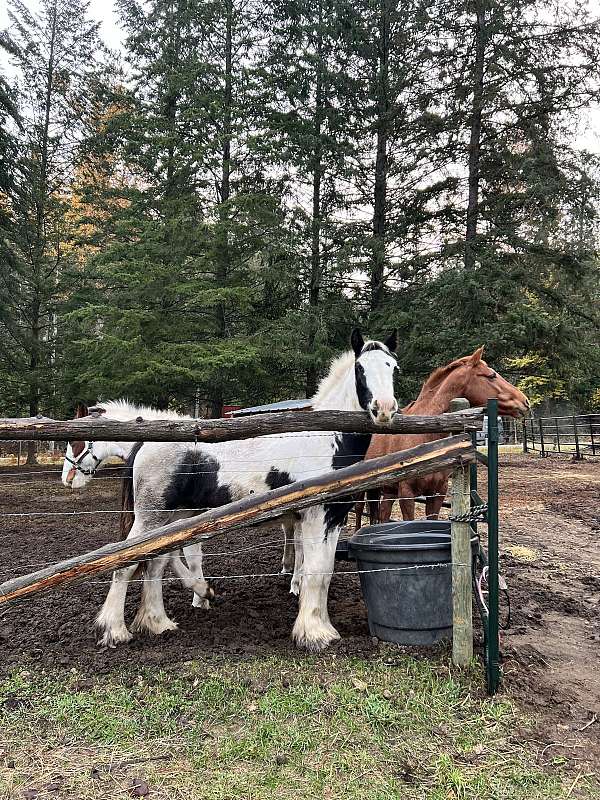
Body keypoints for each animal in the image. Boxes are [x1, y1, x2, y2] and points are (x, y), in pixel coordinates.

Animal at [95, 328, 398, 652]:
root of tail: (145, 443)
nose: (384, 409)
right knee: (126, 565)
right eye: (360, 369)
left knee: (155, 565)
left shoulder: (334, 518)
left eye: (393, 367)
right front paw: (313, 634)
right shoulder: (316, 516)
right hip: (151, 518)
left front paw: (322, 628)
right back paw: (115, 630)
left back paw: (158, 623)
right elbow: (315, 572)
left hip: (171, 520)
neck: (327, 440)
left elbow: (324, 572)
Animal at [354, 348, 528, 524]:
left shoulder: (437, 493)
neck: (425, 437)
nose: (525, 402)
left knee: (381, 515)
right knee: (359, 511)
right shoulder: (406, 494)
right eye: (491, 375)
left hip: (387, 492)